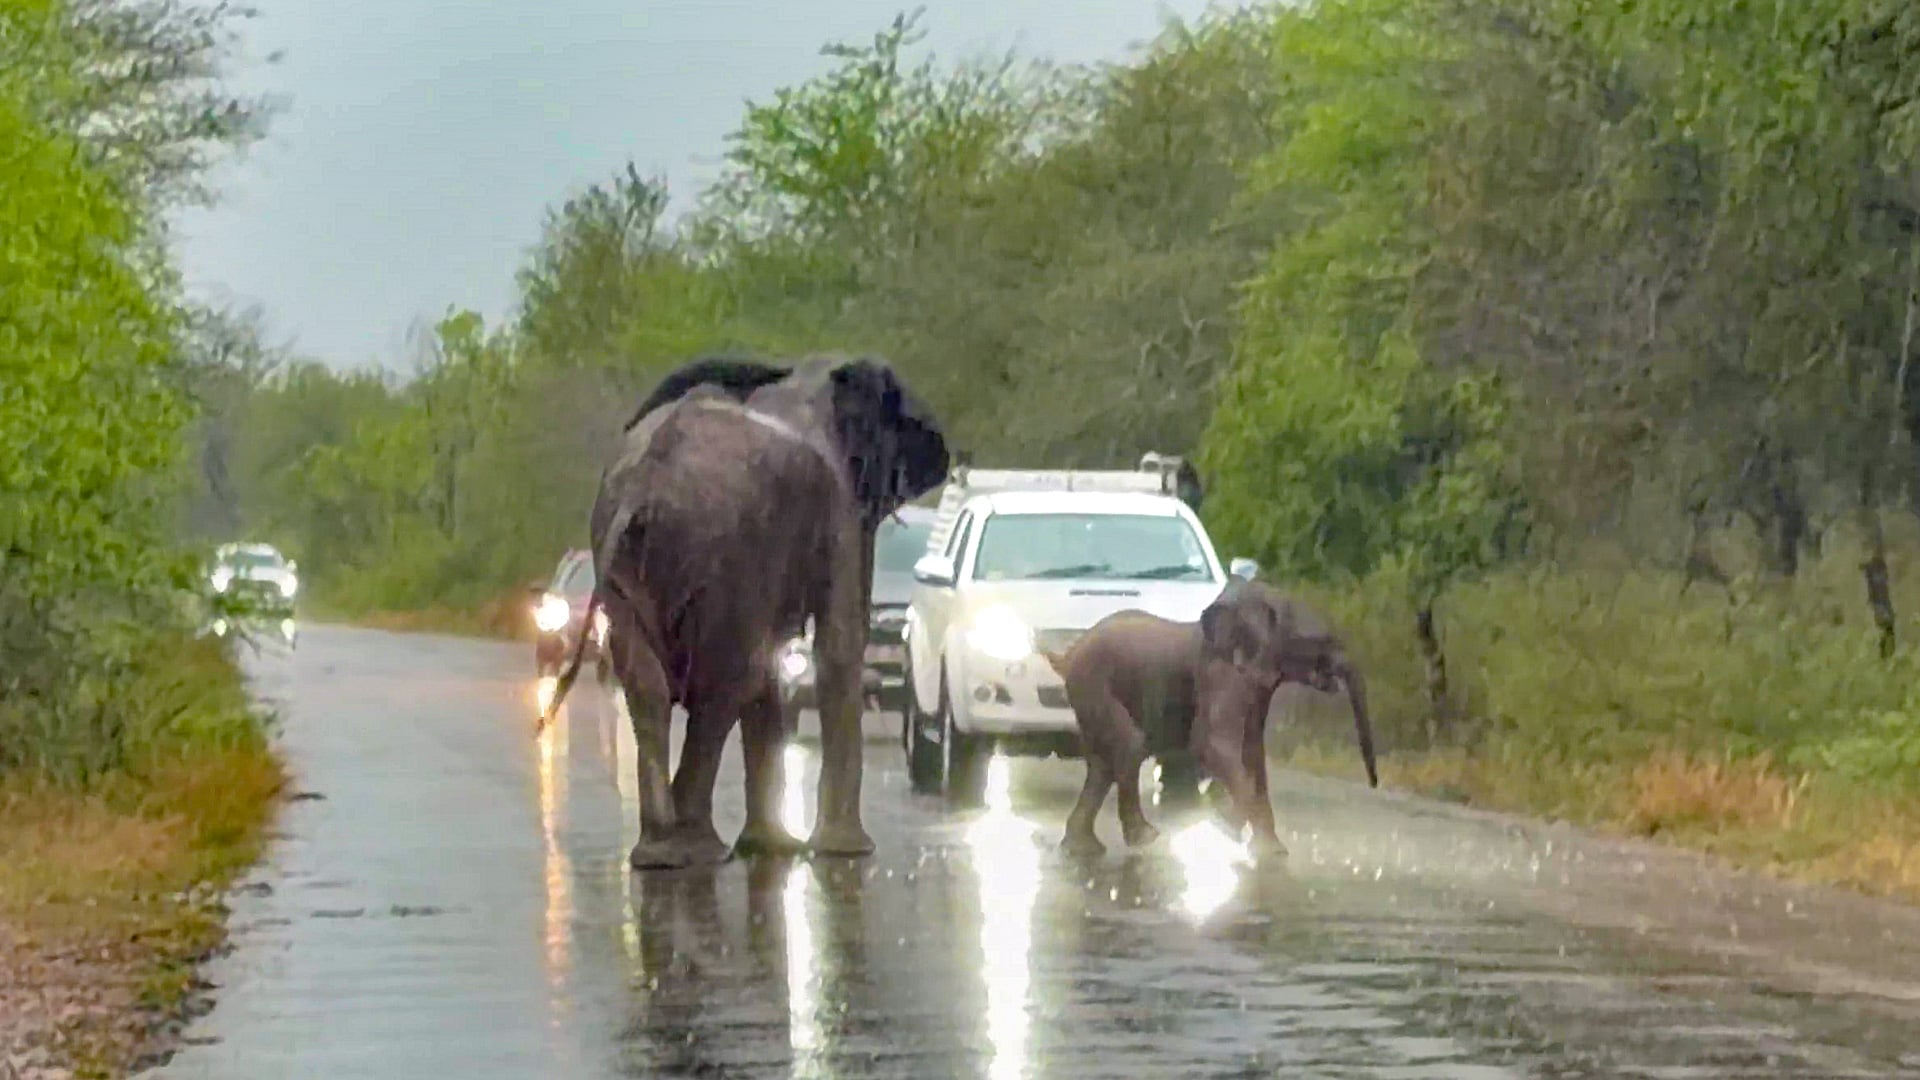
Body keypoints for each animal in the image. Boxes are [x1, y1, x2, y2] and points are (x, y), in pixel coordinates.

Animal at [542, 354, 950, 869]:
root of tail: (645, 488)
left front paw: (773, 849)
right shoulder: (837, 511)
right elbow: (838, 643)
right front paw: (846, 853)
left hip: (626, 560)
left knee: (650, 684)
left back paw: (661, 853)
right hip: (728, 560)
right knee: (726, 684)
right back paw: (700, 849)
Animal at [1038, 579, 1377, 859]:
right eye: (1320, 643)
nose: (1374, 784)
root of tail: (1067, 655)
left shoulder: (1255, 685)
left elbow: (1253, 754)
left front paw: (1270, 851)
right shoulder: (1222, 674)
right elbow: (1210, 744)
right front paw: (1229, 828)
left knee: (1102, 765)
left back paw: (1082, 849)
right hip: (1094, 684)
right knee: (1130, 746)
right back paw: (1146, 839)